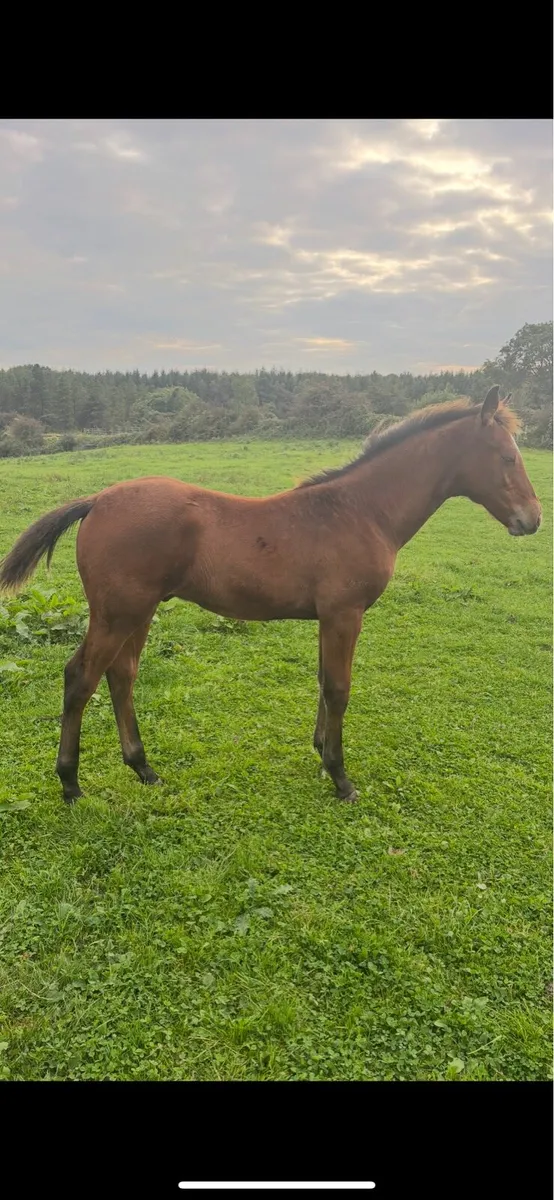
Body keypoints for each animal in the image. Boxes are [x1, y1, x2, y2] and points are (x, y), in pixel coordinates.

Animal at [0, 386, 542, 806]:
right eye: (507, 457)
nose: (533, 519)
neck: (362, 510)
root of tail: (97, 500)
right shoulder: (345, 613)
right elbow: (339, 688)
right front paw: (341, 777)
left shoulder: (328, 617)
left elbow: (323, 681)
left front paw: (321, 753)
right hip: (117, 611)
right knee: (81, 677)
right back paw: (71, 784)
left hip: (140, 610)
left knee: (121, 675)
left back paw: (143, 768)